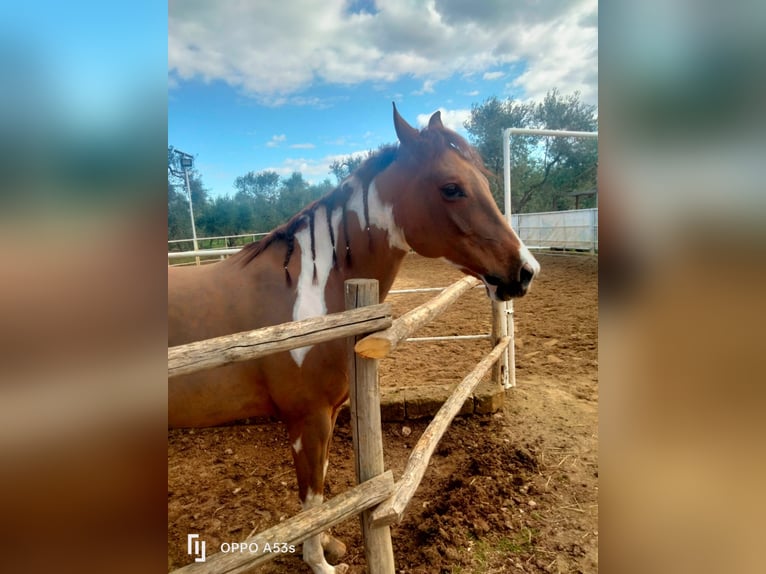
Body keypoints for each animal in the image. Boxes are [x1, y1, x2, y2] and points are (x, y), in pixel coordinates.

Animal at [168, 104, 541, 574]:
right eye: (451, 187)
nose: (525, 271)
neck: (310, 292)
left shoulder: (327, 414)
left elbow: (321, 489)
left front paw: (328, 545)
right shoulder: (307, 418)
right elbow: (311, 497)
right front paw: (320, 562)